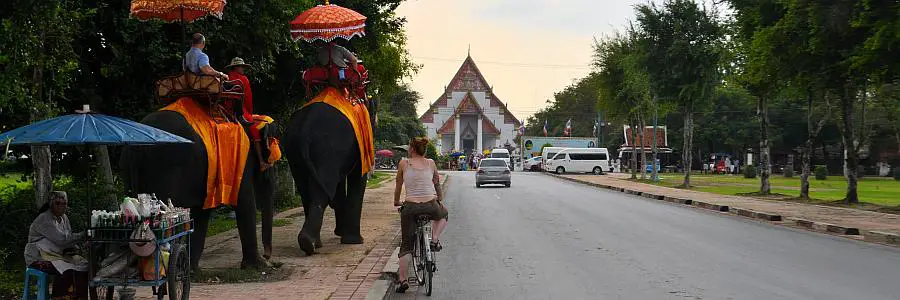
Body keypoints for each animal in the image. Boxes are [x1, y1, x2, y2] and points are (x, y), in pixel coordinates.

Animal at [119, 107, 276, 270]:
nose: (267, 256)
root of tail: (137, 145)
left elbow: (201, 214)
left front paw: (192, 269)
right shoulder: (241, 161)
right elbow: (245, 202)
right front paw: (261, 266)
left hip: (127, 167)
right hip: (162, 169)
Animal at [284, 87, 376, 255]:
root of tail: (306, 124)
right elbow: (357, 176)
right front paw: (354, 241)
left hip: (293, 150)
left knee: (307, 191)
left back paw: (311, 243)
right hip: (327, 149)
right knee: (323, 192)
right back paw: (309, 243)